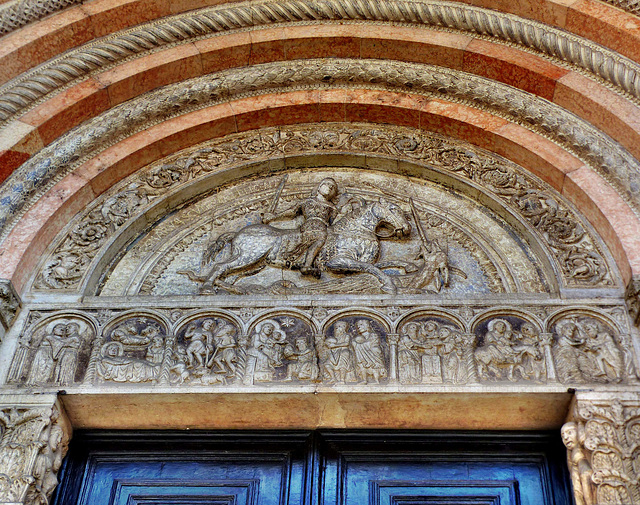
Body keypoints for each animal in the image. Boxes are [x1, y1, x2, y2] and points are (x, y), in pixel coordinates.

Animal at [180, 196, 412, 294]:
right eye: (393, 209)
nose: (407, 229)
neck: (354, 231)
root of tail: (237, 232)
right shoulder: (337, 261)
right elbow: (373, 268)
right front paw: (388, 284)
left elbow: (385, 264)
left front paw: (408, 267)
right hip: (250, 255)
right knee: (220, 267)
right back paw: (207, 288)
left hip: (256, 264)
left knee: (229, 275)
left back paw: (238, 290)